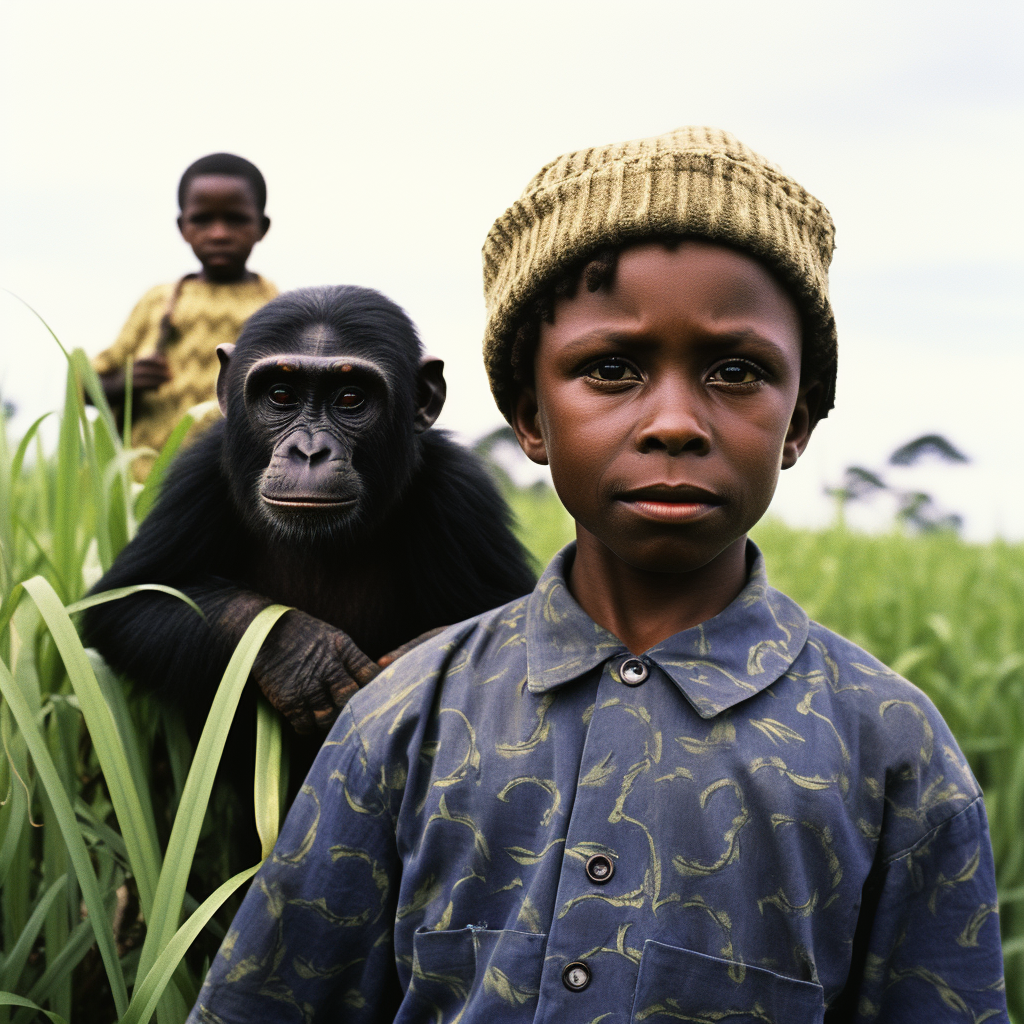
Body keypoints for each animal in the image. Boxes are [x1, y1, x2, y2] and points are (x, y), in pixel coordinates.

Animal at [83, 284, 536, 749]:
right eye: (281, 395)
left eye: (350, 397)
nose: (309, 450)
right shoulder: (198, 478)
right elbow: (129, 604)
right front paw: (300, 651)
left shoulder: (463, 496)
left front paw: (405, 675)